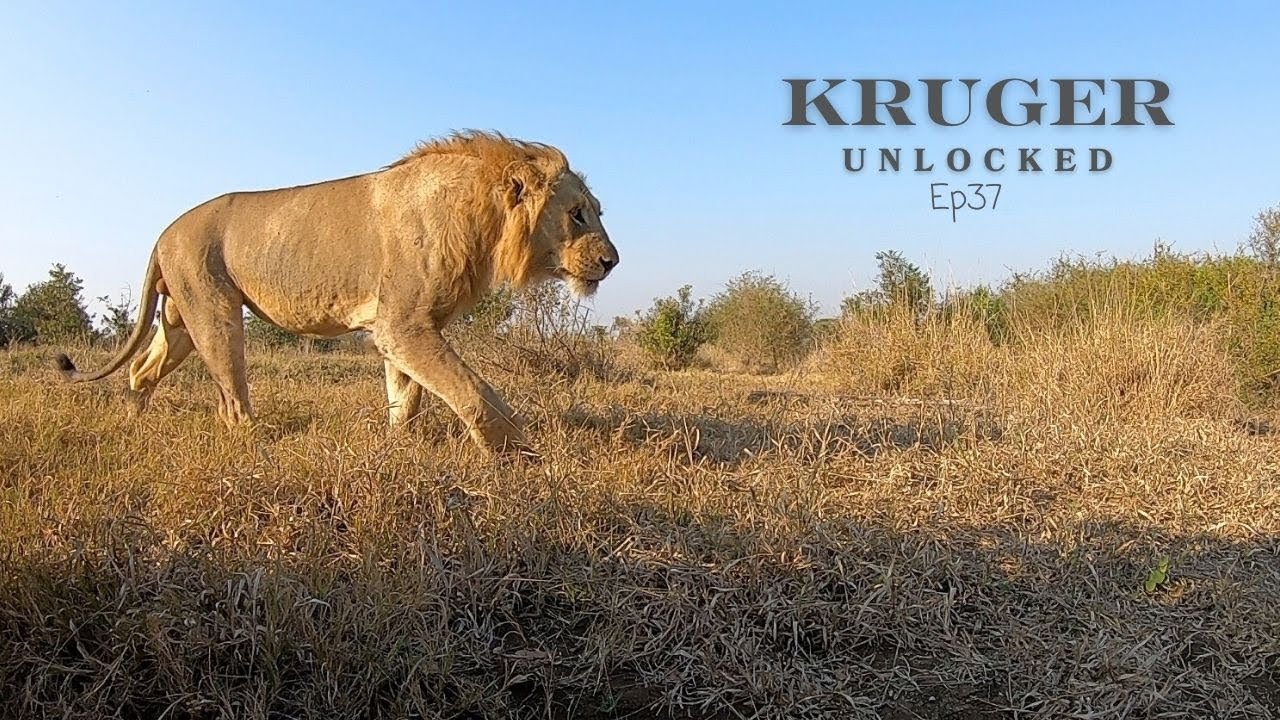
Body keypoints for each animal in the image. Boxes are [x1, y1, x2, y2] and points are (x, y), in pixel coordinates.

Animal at [55, 131, 619, 455]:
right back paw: (257, 447)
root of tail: (163, 232)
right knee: (231, 397)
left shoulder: (408, 329)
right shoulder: (401, 325)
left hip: (178, 321)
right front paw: (521, 457)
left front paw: (400, 449)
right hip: (213, 310)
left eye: (595, 211)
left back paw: (131, 428)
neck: (482, 219)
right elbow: (475, 391)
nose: (612, 262)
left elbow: (408, 396)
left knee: (140, 369)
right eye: (577, 214)